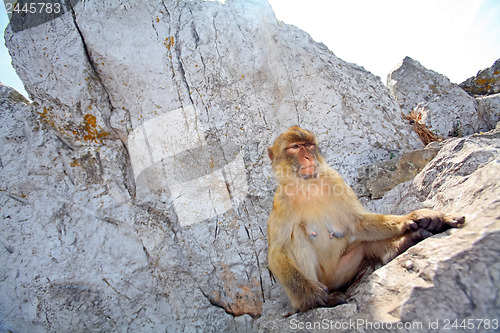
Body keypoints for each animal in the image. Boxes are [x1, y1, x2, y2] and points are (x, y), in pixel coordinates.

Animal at [266, 126, 464, 312]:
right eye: (295, 147)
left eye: (308, 145)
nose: (308, 157)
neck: (307, 185)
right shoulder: (281, 202)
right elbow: (278, 251)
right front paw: (310, 296)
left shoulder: (335, 180)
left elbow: (358, 222)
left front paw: (417, 216)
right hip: (326, 280)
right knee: (296, 236)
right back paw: (319, 302)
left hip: (340, 273)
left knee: (364, 243)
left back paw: (404, 242)